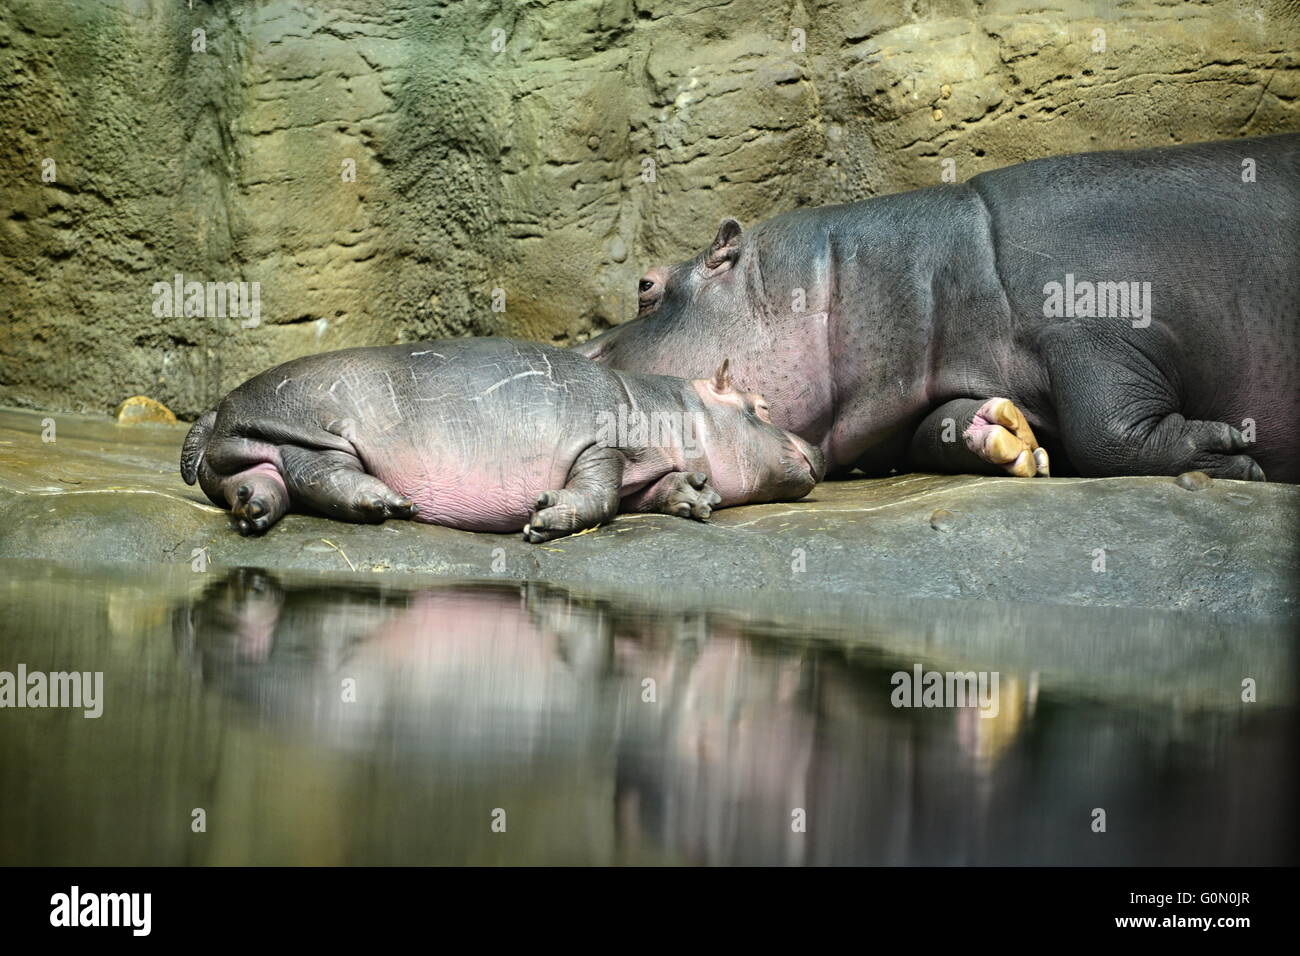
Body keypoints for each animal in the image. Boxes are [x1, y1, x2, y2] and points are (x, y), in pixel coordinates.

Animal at [179, 338, 823, 541]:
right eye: (760, 406)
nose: (815, 448)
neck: (662, 406)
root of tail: (215, 408)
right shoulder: (600, 445)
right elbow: (601, 494)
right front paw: (545, 520)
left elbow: (648, 492)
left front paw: (693, 495)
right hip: (315, 428)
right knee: (312, 469)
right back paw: (384, 502)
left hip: (242, 456)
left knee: (257, 483)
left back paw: (254, 508)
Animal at [577, 134, 1300, 483]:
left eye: (645, 285)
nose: (573, 353)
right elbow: (940, 428)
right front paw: (1008, 439)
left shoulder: (1095, 327)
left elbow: (1109, 431)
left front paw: (1234, 451)